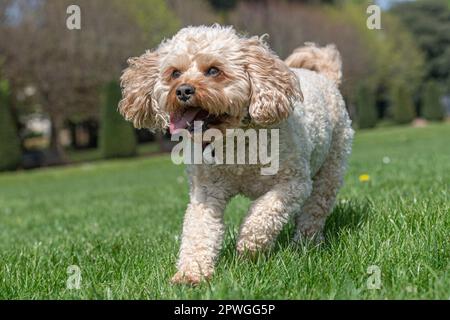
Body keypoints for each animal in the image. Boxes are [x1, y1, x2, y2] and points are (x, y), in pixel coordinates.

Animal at [119, 25, 356, 284]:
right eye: (175, 73)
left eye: (214, 70)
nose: (182, 90)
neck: (235, 141)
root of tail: (325, 76)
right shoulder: (206, 192)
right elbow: (198, 230)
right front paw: (191, 273)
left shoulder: (293, 184)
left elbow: (261, 216)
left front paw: (248, 249)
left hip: (330, 168)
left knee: (315, 210)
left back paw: (305, 244)